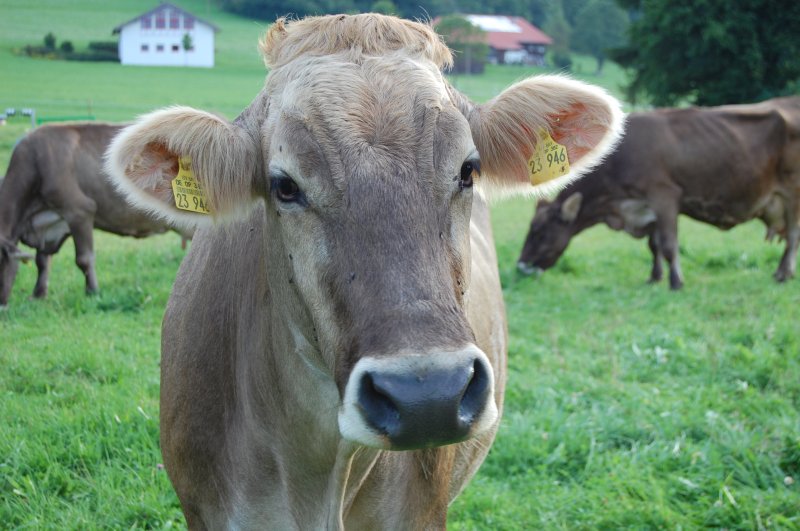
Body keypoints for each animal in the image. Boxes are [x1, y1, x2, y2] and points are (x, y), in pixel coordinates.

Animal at [520, 100, 800, 290]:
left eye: (540, 232)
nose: (520, 266)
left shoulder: (664, 197)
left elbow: (667, 244)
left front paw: (676, 281)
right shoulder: (646, 208)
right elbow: (653, 245)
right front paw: (655, 277)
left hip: (792, 195)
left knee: (793, 236)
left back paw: (783, 273)